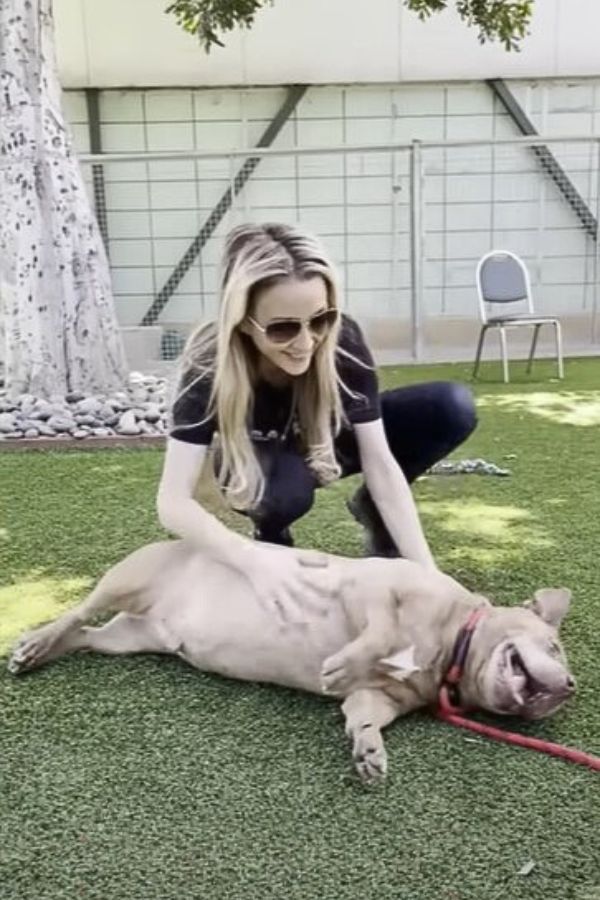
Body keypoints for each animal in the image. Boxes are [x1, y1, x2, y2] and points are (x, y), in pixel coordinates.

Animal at [7, 540, 576, 780]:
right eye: (555, 647)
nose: (569, 686)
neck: (452, 641)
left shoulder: (378, 697)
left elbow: (364, 716)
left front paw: (368, 751)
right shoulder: (370, 588)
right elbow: (380, 630)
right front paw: (342, 662)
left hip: (132, 637)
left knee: (86, 635)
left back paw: (46, 651)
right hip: (127, 579)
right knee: (78, 611)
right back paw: (34, 643)